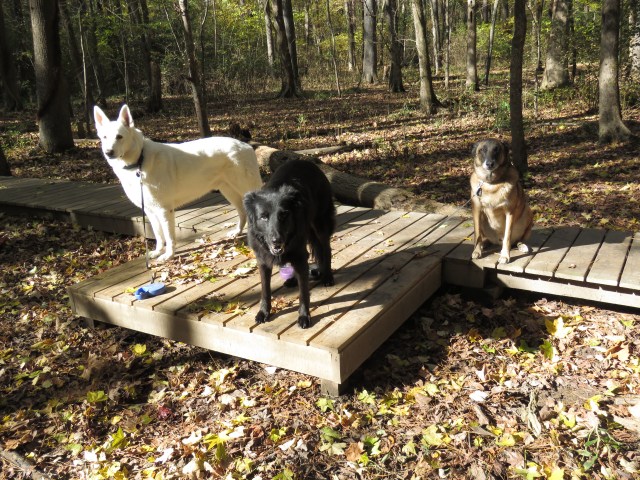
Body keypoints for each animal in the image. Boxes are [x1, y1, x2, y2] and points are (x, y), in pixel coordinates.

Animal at [93, 104, 262, 262]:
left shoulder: (164, 210)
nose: (108, 152)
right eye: (104, 137)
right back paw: (237, 232)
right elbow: (158, 235)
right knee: (242, 212)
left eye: (119, 137)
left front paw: (168, 255)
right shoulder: (150, 211)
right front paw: (158, 251)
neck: (139, 160)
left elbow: (169, 237)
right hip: (228, 190)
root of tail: (245, 145)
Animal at [243, 160, 335, 329]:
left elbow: (303, 292)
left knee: (326, 249)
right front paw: (264, 312)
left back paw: (327, 276)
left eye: (284, 215)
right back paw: (293, 280)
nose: (277, 240)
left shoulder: (300, 256)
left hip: (320, 225)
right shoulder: (263, 261)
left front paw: (304, 316)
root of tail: (307, 161)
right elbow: (265, 290)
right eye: (263, 217)